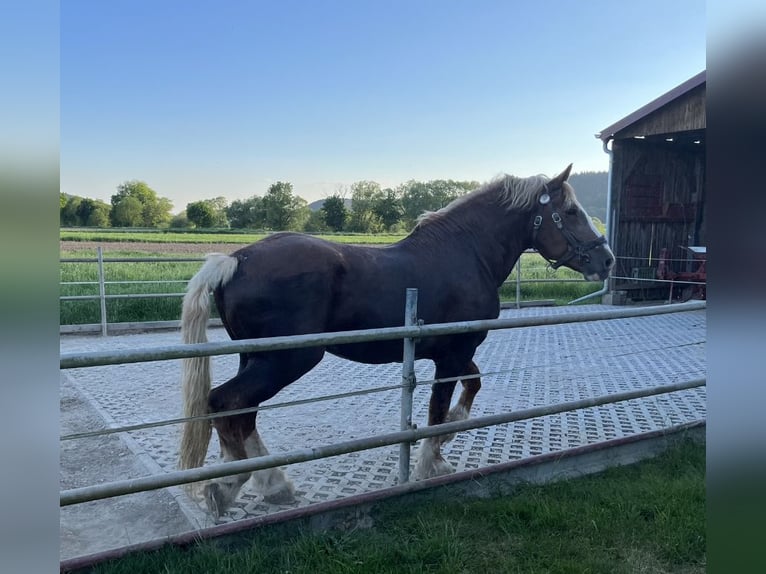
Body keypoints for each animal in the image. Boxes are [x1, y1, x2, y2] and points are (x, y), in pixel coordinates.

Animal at [177, 164, 616, 520]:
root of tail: (235, 260)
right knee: (226, 403)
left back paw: (273, 485)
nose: (607, 260)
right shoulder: (453, 353)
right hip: (286, 360)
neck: (467, 252)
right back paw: (228, 485)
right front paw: (431, 464)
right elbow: (438, 408)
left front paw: (449, 435)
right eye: (571, 212)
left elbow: (471, 386)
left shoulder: (455, 352)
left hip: (255, 357)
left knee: (243, 412)